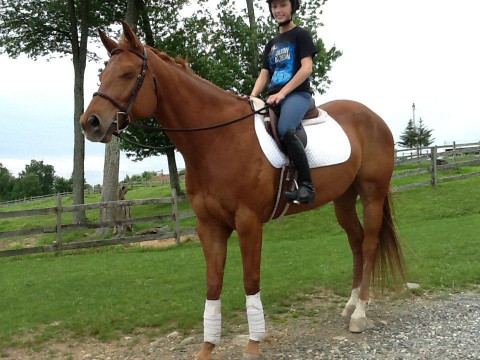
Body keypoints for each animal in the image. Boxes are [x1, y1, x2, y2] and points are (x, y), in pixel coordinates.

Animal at [80, 21, 404, 358]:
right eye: (102, 75)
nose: (90, 123)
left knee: (369, 244)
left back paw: (360, 314)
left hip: (372, 193)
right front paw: (207, 347)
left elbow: (251, 281)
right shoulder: (209, 226)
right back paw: (350, 305)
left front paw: (253, 343)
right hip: (343, 198)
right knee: (355, 241)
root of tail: (374, 118)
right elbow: (213, 284)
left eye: (128, 74)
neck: (217, 139)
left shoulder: (248, 223)